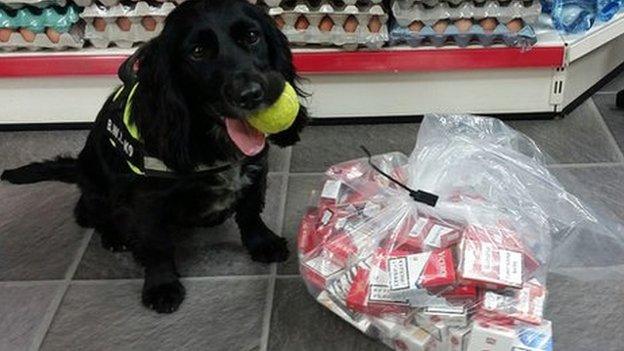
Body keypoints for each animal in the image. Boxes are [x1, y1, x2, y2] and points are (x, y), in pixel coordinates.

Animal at [1, 0, 308, 314]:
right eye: (198, 52)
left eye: (252, 36)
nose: (251, 94)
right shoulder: (147, 200)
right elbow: (156, 245)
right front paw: (162, 285)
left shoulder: (256, 168)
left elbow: (250, 212)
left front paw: (262, 243)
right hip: (97, 189)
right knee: (86, 212)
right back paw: (114, 236)